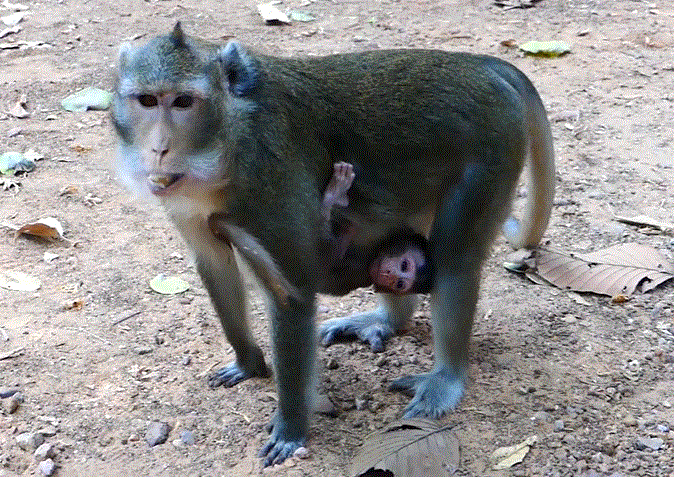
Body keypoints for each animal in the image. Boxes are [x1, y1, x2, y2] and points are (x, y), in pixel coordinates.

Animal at [111, 23, 554, 466]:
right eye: (147, 100)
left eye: (183, 102)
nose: (159, 148)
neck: (228, 147)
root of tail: (480, 65)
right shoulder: (187, 203)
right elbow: (215, 264)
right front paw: (248, 363)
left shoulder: (270, 182)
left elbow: (291, 296)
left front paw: (291, 427)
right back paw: (389, 320)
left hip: (491, 151)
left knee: (454, 260)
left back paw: (446, 378)